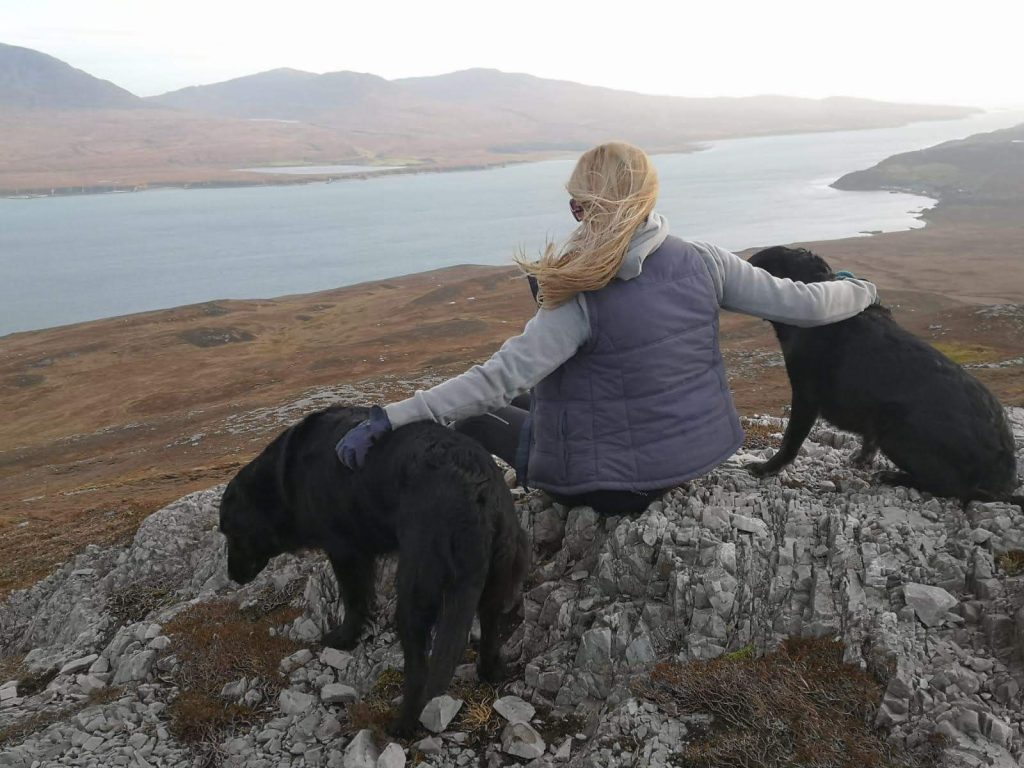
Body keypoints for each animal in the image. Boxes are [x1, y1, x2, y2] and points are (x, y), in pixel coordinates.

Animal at [220, 405, 532, 737]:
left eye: (229, 532)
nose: (232, 575)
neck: (284, 479)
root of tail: (477, 491)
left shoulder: (344, 551)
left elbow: (354, 599)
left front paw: (344, 637)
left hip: (416, 590)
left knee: (420, 671)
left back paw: (403, 724)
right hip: (501, 572)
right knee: (490, 625)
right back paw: (491, 671)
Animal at [741, 244, 1019, 505]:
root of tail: (1004, 476)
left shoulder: (805, 396)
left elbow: (790, 441)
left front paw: (766, 468)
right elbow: (868, 440)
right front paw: (862, 458)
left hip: (896, 428)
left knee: (952, 487)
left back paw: (895, 477)